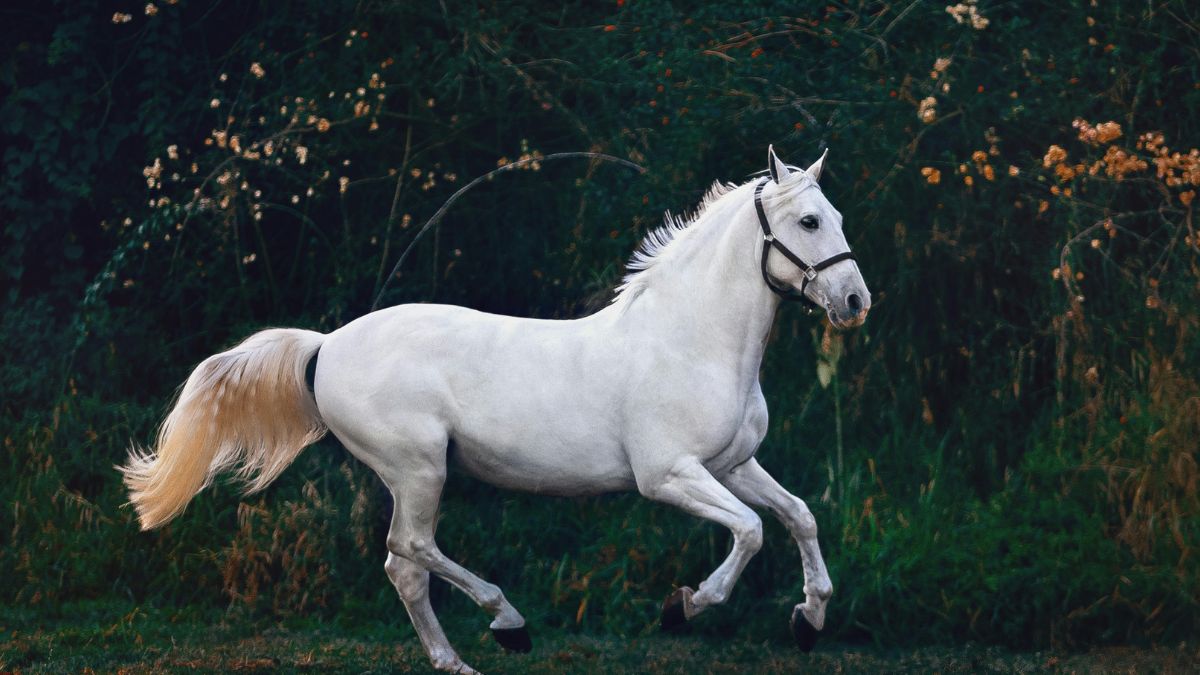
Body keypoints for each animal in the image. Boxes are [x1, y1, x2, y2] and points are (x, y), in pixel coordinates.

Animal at [120, 146, 870, 673]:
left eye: (837, 218)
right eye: (809, 220)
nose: (856, 301)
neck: (692, 340)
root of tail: (326, 345)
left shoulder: (733, 464)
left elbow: (798, 515)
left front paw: (809, 619)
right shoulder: (669, 476)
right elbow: (750, 530)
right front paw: (684, 607)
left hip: (415, 474)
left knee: (404, 567)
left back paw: (457, 660)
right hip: (418, 468)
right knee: (410, 550)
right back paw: (507, 623)